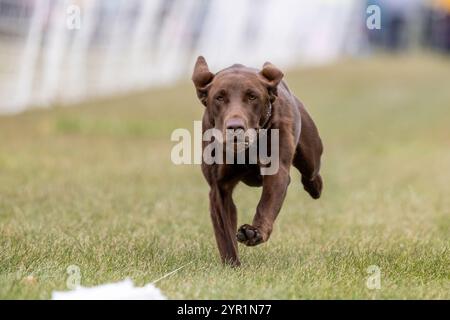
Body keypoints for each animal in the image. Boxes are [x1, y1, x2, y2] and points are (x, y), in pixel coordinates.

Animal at [192, 57, 322, 264]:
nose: (235, 127)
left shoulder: (277, 171)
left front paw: (255, 232)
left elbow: (266, 204)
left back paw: (314, 187)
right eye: (219, 97)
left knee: (311, 172)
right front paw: (232, 265)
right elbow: (225, 235)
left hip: (310, 154)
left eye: (252, 96)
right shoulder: (219, 188)